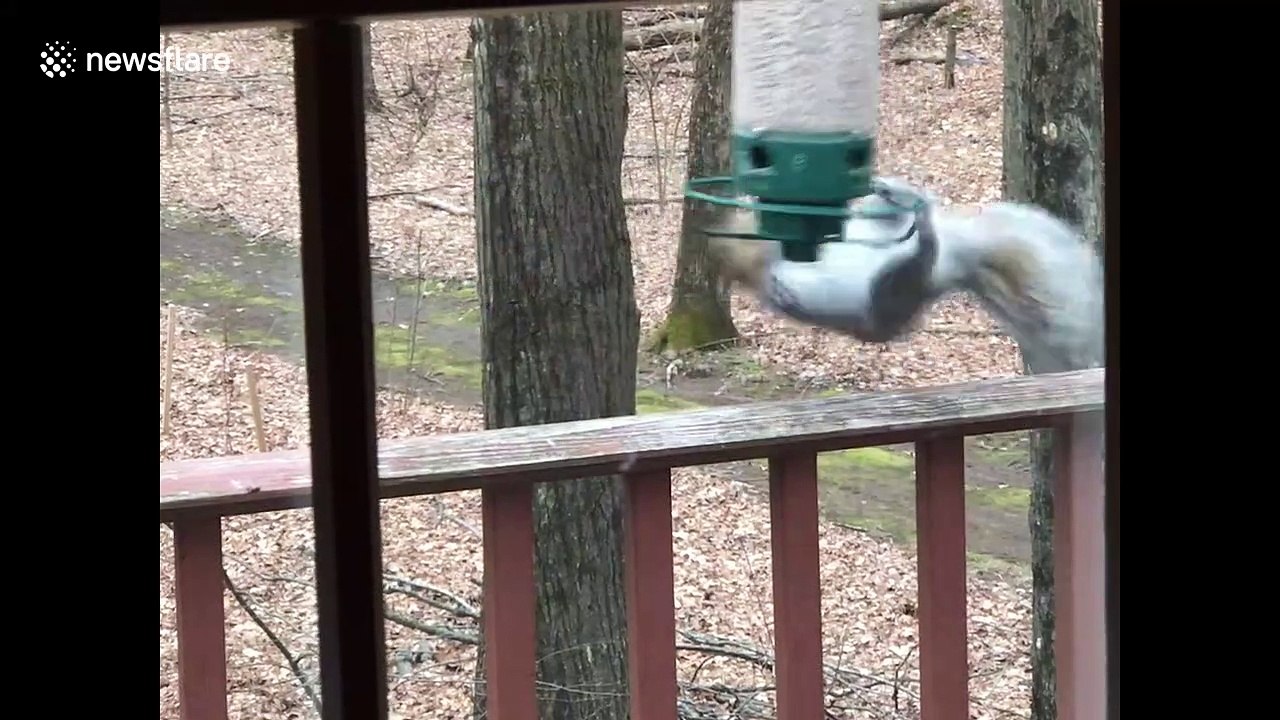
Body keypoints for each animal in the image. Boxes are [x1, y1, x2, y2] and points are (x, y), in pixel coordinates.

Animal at [705, 178, 1105, 374]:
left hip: (882, 233)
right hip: (891, 285)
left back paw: (896, 191)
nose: (746, 202)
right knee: (921, 248)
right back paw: (922, 222)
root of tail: (952, 264)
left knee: (899, 211)